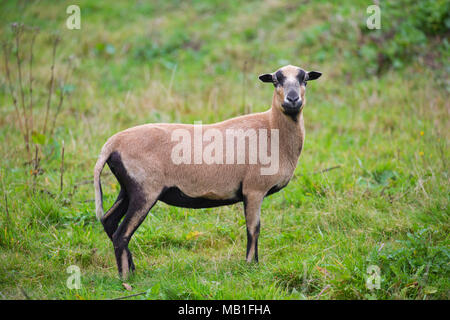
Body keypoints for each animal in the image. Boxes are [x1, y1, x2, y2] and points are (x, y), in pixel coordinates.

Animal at [94, 64, 320, 278]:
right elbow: (253, 228)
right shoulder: (253, 189)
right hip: (145, 190)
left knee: (109, 221)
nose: (293, 99)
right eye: (275, 80)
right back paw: (126, 278)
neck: (272, 130)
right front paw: (251, 265)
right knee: (121, 234)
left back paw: (132, 269)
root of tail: (112, 144)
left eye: (305, 79)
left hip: (128, 188)